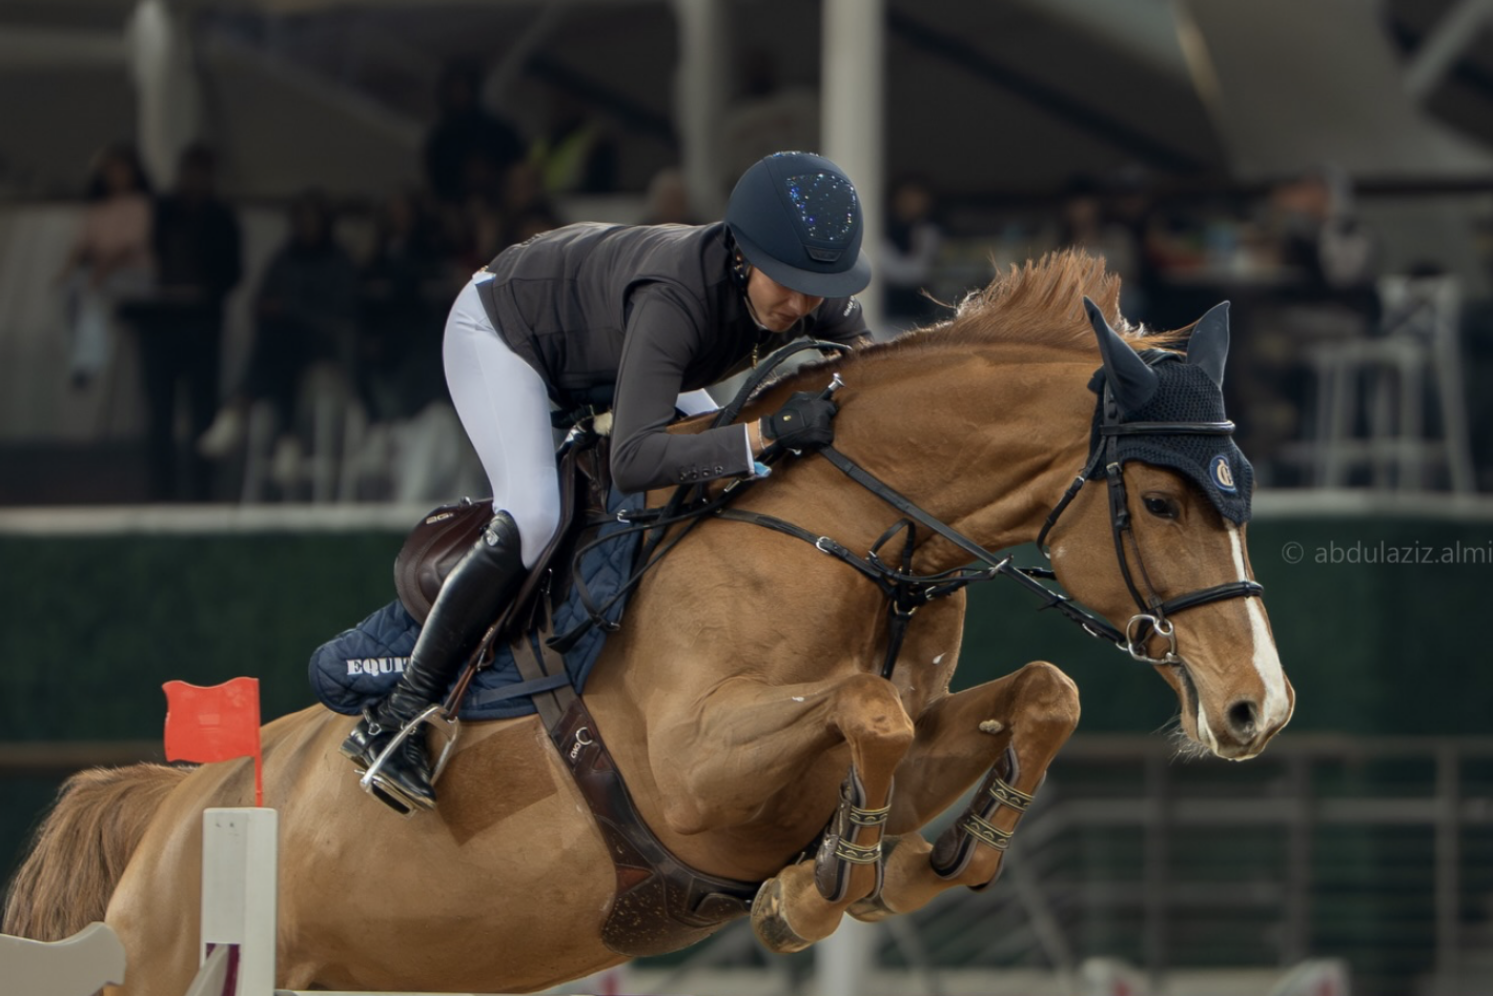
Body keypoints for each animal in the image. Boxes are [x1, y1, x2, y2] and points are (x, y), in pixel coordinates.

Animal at [2, 251, 1292, 994]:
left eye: (1242, 493)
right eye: (1162, 501)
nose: (1255, 708)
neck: (844, 527)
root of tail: (177, 806)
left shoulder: (878, 740)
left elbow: (1035, 695)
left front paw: (928, 858)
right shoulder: (690, 773)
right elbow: (865, 710)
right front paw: (823, 887)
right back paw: (395, 741)